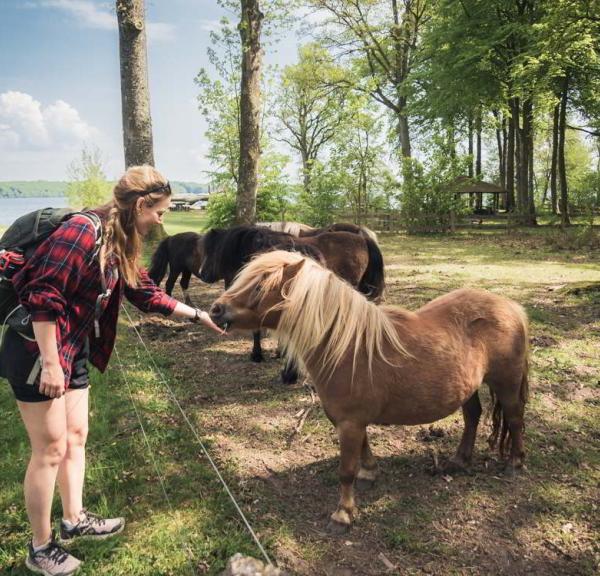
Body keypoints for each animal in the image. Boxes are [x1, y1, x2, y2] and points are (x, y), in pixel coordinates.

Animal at [211, 251, 528, 532]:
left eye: (259, 286)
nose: (216, 309)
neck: (345, 346)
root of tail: (512, 307)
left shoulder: (350, 422)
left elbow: (346, 471)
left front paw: (342, 515)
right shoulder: (351, 421)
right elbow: (364, 451)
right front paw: (369, 474)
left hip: (507, 385)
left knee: (514, 420)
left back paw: (514, 463)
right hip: (468, 387)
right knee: (472, 416)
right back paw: (459, 461)